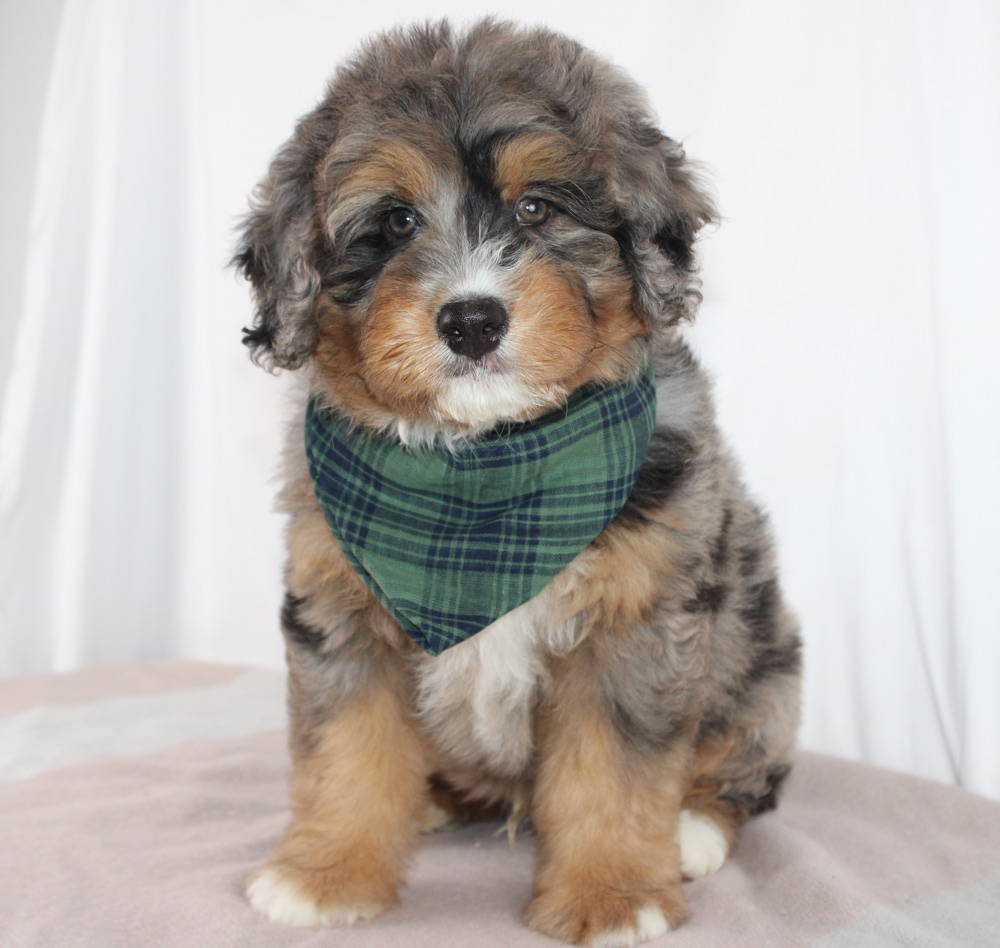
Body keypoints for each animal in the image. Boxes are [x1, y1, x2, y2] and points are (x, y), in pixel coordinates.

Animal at [234, 19, 801, 947]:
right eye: (394, 221)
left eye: (536, 207)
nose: (471, 320)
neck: (484, 468)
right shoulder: (341, 609)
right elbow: (347, 750)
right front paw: (327, 873)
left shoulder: (635, 623)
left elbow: (614, 767)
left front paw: (612, 892)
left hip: (763, 662)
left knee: (746, 767)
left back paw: (692, 829)